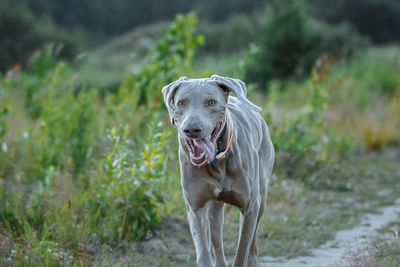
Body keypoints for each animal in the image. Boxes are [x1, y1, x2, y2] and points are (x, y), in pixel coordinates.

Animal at [162, 75, 276, 267]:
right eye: (181, 103)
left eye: (211, 102)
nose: (192, 129)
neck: (216, 163)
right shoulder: (195, 208)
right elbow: (203, 252)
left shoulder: (250, 207)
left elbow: (241, 252)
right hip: (215, 210)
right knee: (216, 232)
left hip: (261, 194)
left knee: (253, 242)